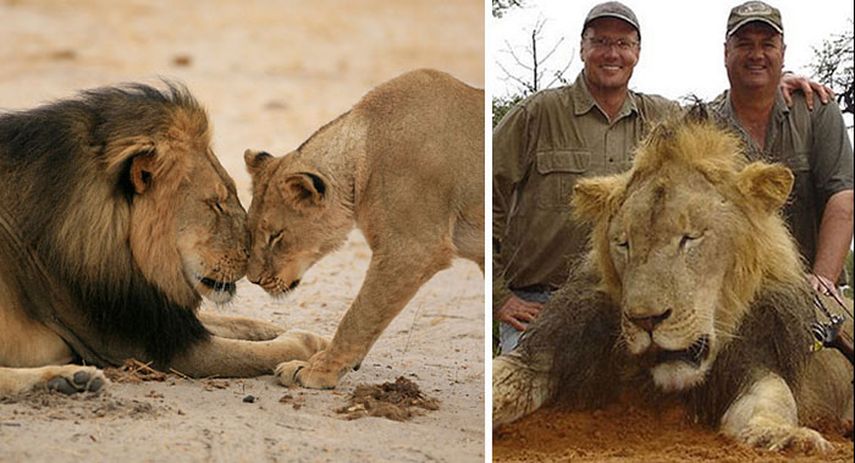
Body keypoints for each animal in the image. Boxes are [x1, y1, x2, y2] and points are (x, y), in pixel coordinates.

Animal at [0, 83, 327, 397]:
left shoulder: (158, 312)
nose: (252, 258)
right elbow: (268, 350)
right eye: (215, 204)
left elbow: (236, 322)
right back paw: (67, 379)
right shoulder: (151, 347)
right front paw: (309, 343)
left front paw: (299, 334)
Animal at [492, 109, 853, 452]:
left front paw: (783, 437)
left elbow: (774, 397)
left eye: (690, 238)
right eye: (624, 243)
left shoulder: (756, 358)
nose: (646, 320)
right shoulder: (557, 349)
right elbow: (503, 374)